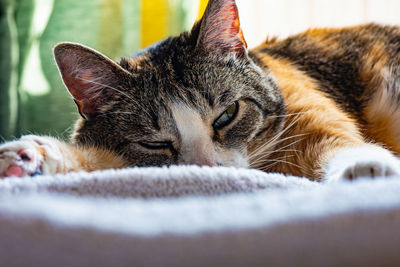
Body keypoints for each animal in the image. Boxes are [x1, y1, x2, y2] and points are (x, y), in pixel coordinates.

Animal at [0, 0, 400, 183]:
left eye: (227, 115)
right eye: (155, 144)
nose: (208, 169)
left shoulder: (310, 114)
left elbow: (337, 145)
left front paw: (370, 167)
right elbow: (103, 162)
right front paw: (29, 156)